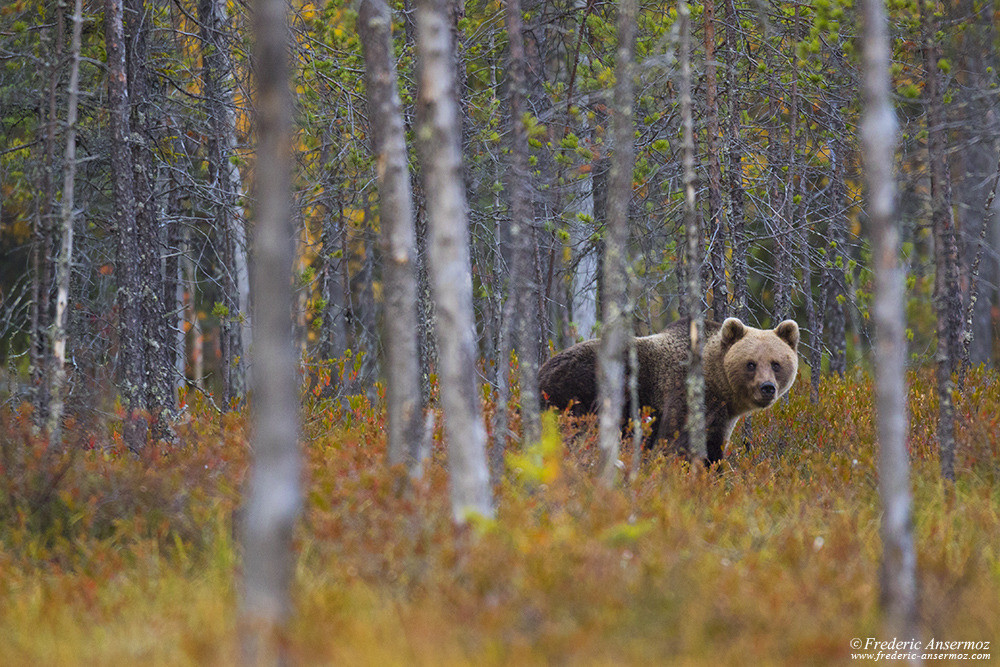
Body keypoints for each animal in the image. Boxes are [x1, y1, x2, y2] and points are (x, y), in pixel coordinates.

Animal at [536, 318, 800, 464]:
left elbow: (712, 448)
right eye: (751, 363)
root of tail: (541, 371)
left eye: (776, 363)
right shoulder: (681, 394)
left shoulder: (720, 417)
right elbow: (676, 442)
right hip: (573, 396)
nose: (767, 388)